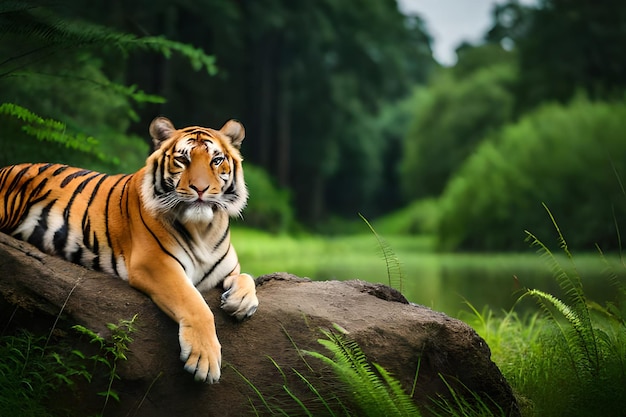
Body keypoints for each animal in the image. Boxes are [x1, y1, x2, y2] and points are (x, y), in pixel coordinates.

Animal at [0, 115, 258, 382]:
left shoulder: (227, 270)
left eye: (216, 160)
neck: (204, 229)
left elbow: (247, 277)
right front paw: (204, 361)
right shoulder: (155, 263)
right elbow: (196, 304)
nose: (200, 189)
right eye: (183, 159)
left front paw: (240, 301)